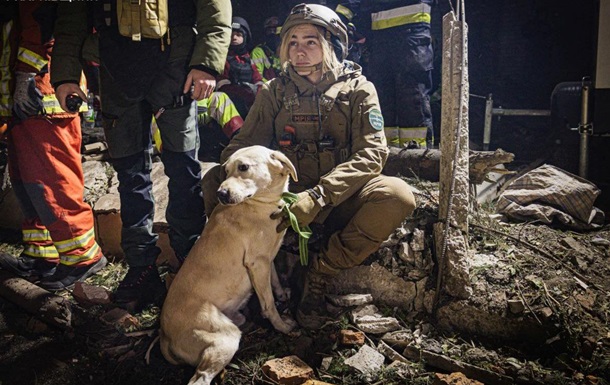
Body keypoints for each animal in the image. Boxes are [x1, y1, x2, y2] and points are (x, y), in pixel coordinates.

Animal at [159, 145, 296, 384]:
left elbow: (276, 281)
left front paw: (282, 296)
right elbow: (268, 303)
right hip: (225, 339)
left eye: (243, 167)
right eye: (226, 170)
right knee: (200, 378)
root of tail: (164, 335)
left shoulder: (266, 259)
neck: (261, 205)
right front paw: (281, 326)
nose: (220, 194)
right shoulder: (257, 263)